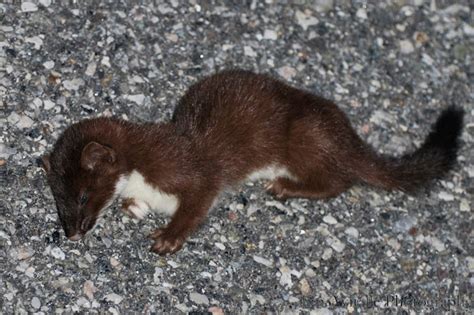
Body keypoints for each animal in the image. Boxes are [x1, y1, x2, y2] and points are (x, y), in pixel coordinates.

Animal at [40, 70, 462, 256]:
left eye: (83, 196)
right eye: (58, 199)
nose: (72, 233)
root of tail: (349, 133)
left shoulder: (188, 169)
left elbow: (199, 199)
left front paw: (168, 237)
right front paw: (134, 206)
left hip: (308, 137)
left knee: (339, 180)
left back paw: (285, 186)